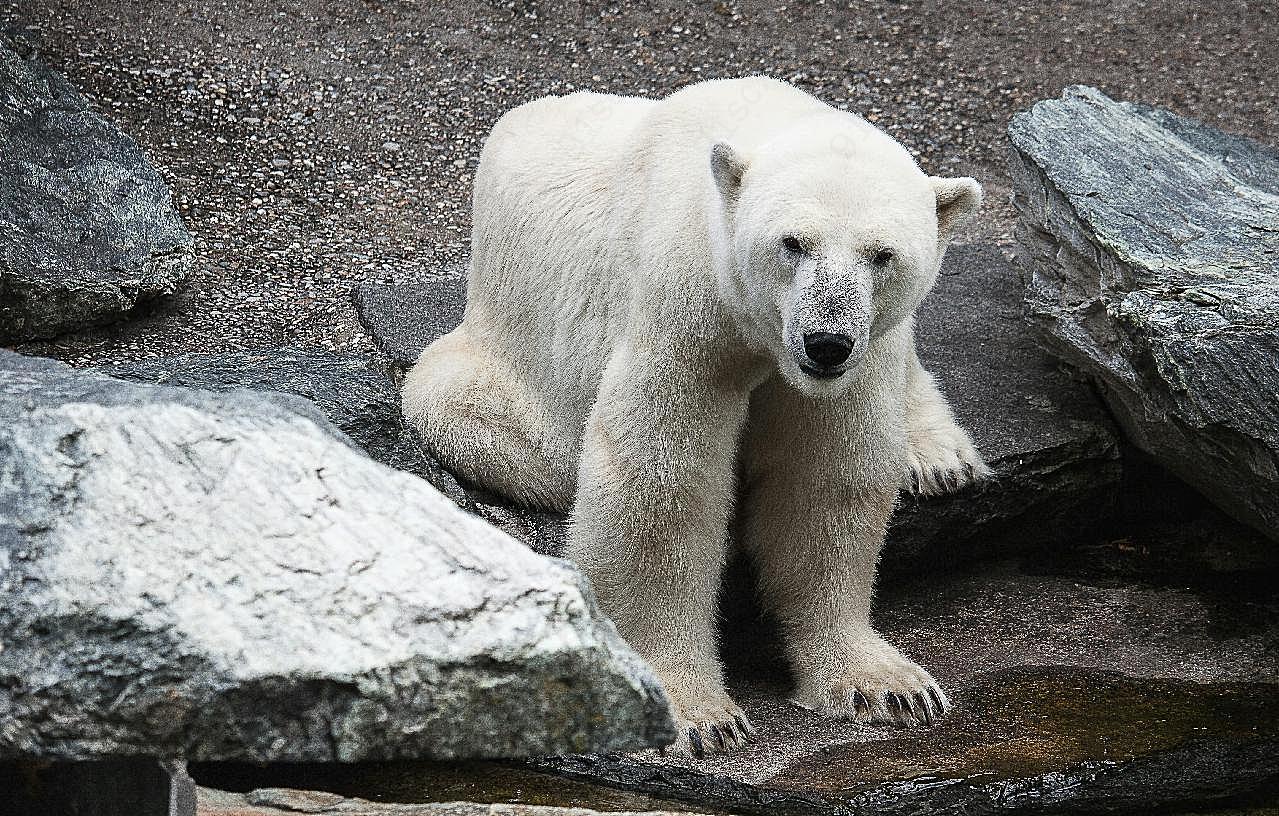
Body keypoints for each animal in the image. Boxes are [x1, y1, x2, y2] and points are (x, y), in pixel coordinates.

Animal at [404, 78, 982, 762]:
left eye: (882, 254)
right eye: (793, 242)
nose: (825, 342)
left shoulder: (855, 359)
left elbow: (822, 482)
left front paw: (886, 684)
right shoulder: (687, 309)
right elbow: (663, 483)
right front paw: (695, 713)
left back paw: (939, 454)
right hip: (496, 358)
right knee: (472, 411)